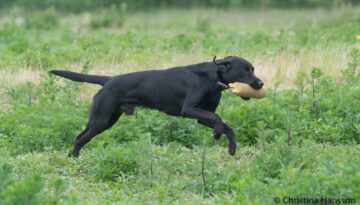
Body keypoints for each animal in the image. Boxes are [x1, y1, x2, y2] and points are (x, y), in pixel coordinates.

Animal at [50, 56, 264, 157]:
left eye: (253, 69)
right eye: (245, 71)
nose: (261, 83)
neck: (213, 77)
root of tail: (108, 80)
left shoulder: (201, 115)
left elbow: (228, 127)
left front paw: (232, 148)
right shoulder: (189, 109)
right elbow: (219, 120)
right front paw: (218, 133)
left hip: (107, 119)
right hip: (101, 119)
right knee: (80, 137)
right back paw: (73, 158)